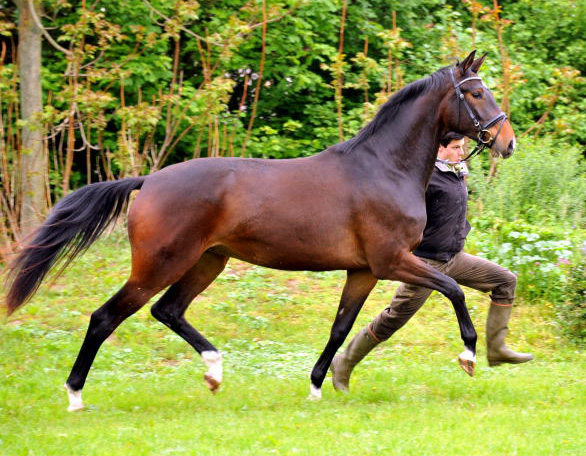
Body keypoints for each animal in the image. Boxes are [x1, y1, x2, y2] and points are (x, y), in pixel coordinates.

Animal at [3, 50, 512, 410]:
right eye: (475, 94)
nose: (507, 143)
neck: (383, 168)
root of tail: (149, 181)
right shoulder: (392, 262)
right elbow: (454, 289)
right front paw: (469, 356)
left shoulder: (364, 271)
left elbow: (340, 328)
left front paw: (315, 388)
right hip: (160, 264)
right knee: (105, 317)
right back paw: (75, 396)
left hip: (208, 260)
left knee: (168, 311)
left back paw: (214, 371)